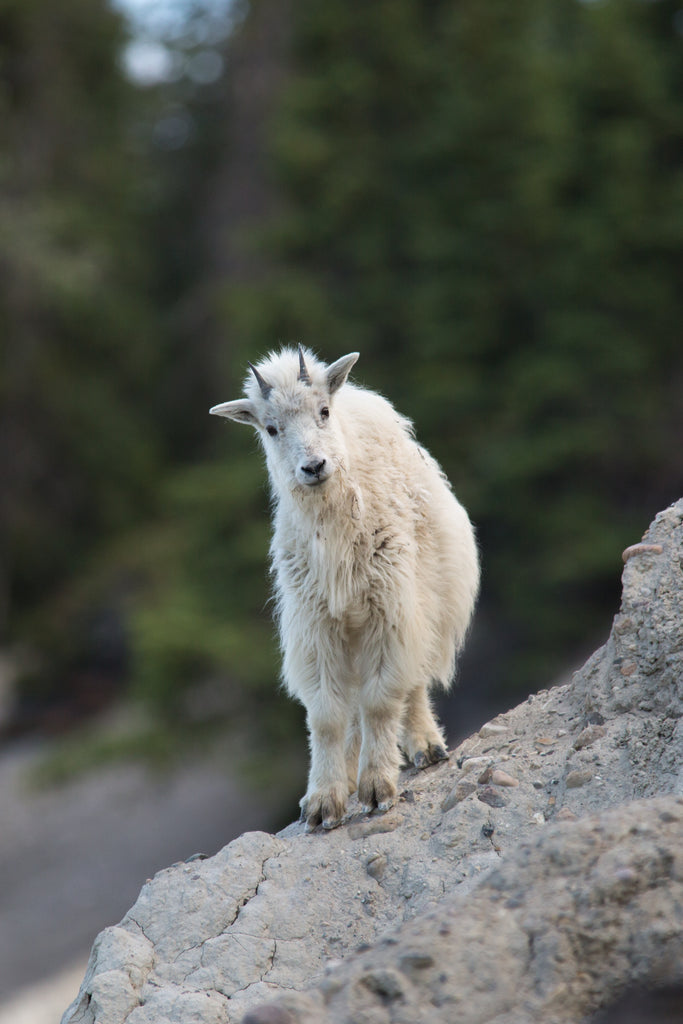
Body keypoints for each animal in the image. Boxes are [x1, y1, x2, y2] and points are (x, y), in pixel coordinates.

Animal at [211, 347, 479, 830]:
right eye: (271, 428)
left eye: (323, 411)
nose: (314, 467)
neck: (333, 530)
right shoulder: (317, 626)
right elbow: (327, 715)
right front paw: (323, 802)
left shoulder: (389, 610)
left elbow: (381, 700)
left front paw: (377, 788)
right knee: (354, 706)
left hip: (426, 597)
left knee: (410, 682)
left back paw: (424, 746)